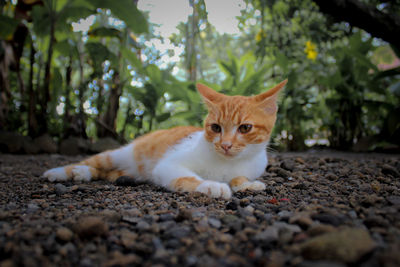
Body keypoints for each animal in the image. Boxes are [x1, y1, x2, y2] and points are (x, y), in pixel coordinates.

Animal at [44, 80, 288, 200]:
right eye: (215, 128)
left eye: (245, 128)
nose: (225, 145)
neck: (228, 163)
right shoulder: (168, 165)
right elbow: (187, 176)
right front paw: (211, 185)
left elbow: (240, 177)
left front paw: (246, 184)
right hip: (121, 153)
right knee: (96, 161)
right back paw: (65, 172)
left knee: (106, 171)